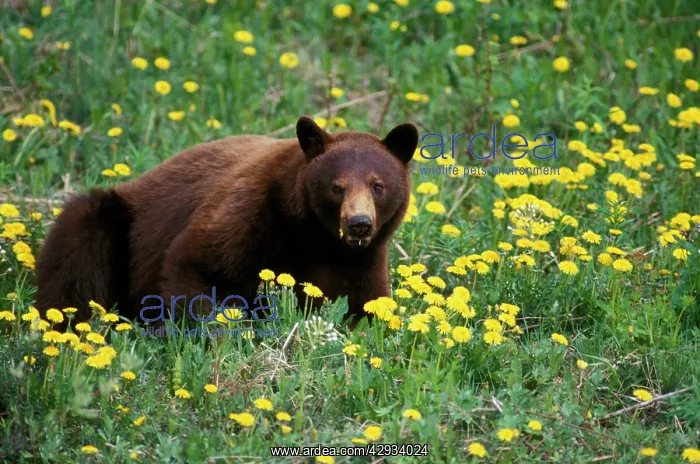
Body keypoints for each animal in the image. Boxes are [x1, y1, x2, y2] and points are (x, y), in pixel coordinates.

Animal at [34, 116, 418, 328]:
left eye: (378, 185)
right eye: (337, 187)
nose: (359, 223)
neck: (316, 238)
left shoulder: (362, 261)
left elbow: (367, 307)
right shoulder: (253, 213)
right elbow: (198, 264)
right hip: (117, 221)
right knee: (78, 255)